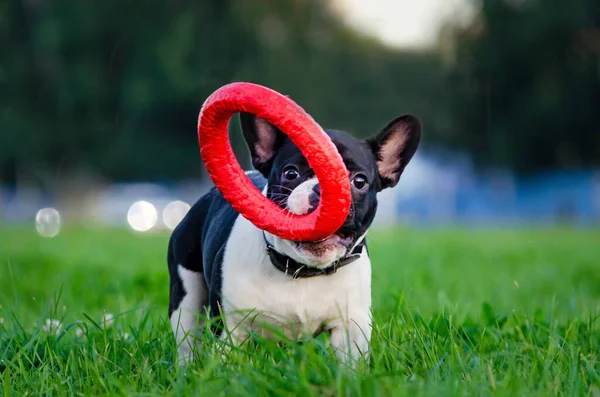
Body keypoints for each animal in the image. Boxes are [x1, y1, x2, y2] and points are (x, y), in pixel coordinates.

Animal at [168, 111, 422, 366]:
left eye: (359, 181)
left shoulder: (350, 328)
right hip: (186, 295)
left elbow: (349, 364)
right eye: (291, 173)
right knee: (187, 338)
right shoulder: (230, 325)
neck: (302, 270)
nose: (324, 189)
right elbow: (225, 360)